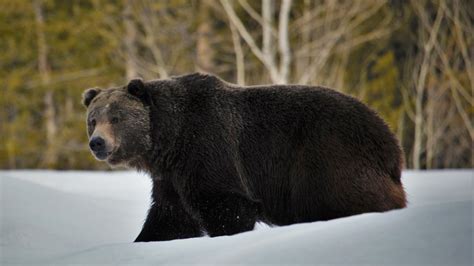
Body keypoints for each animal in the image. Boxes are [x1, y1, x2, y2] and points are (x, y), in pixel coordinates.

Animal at [82, 72, 408, 241]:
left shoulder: (208, 146)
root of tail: (391, 142)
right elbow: (169, 218)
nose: (97, 143)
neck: (168, 141)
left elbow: (228, 205)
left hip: (328, 156)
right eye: (93, 119)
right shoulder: (172, 177)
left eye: (116, 117)